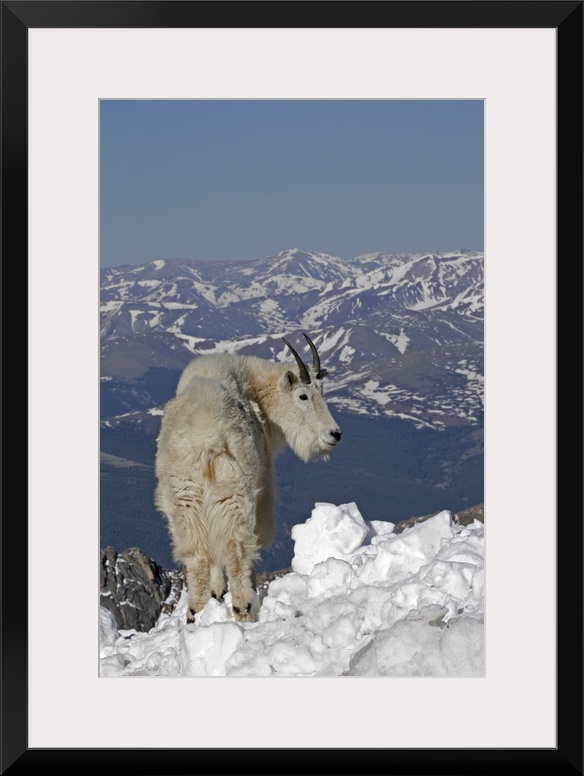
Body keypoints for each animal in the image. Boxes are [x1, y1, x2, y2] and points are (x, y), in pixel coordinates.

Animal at [154, 334, 342, 623]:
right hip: (234, 488)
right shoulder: (262, 481)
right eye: (303, 395)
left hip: (184, 496)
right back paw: (244, 607)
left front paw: (217, 591)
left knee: (196, 551)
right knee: (237, 545)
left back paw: (196, 612)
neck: (252, 387)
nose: (334, 434)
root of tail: (207, 439)